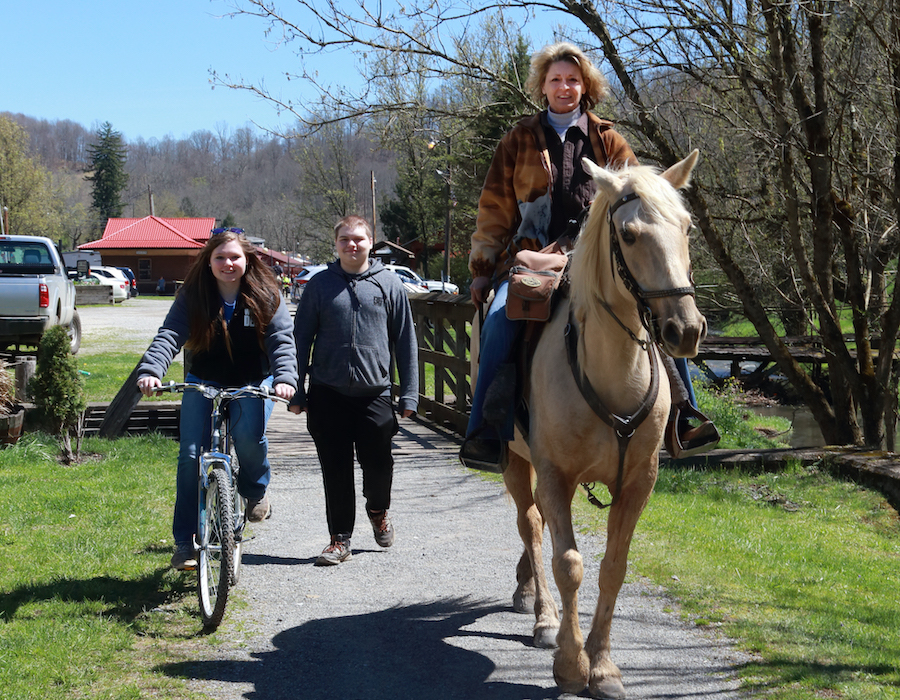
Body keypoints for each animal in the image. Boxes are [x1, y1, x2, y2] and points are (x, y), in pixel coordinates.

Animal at [482, 150, 708, 696]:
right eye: (628, 234)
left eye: (687, 227)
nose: (685, 329)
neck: (611, 372)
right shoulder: (556, 477)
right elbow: (569, 565)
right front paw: (571, 664)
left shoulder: (638, 483)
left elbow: (613, 568)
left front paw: (603, 668)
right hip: (514, 460)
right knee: (531, 525)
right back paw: (542, 616)